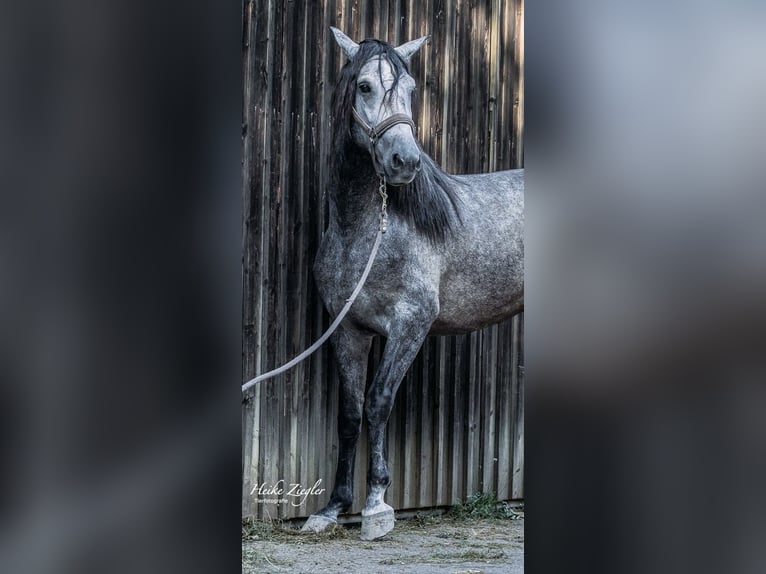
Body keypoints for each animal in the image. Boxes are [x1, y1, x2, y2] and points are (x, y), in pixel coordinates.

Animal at [304, 25, 524, 540]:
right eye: (364, 86)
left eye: (409, 89)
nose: (404, 161)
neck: (369, 231)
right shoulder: (348, 330)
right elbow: (349, 414)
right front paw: (332, 508)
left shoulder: (411, 325)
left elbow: (378, 403)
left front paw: (376, 505)